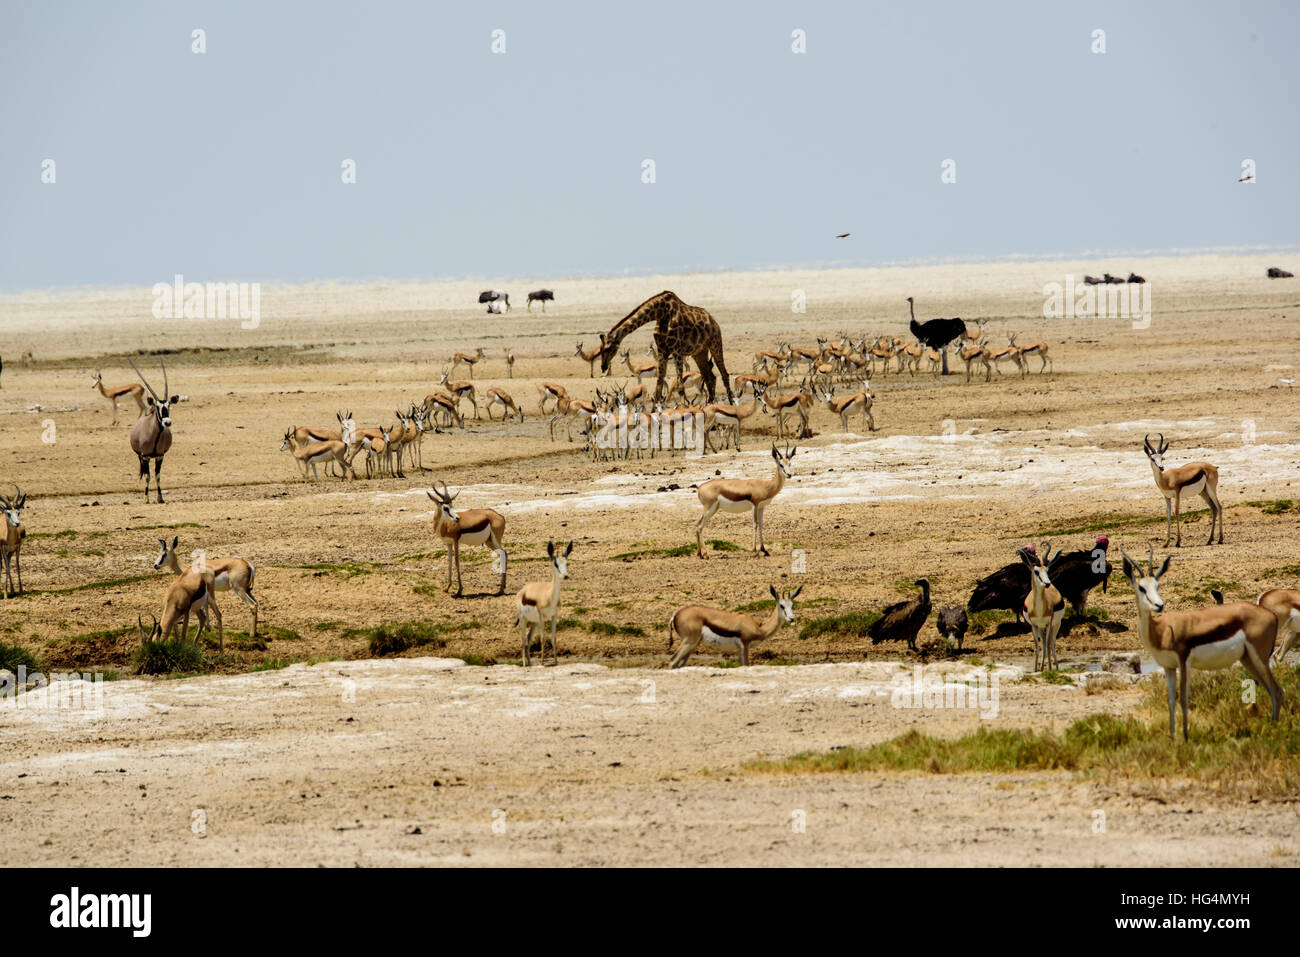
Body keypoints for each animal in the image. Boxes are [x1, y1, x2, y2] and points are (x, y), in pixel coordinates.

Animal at [595, 287, 733, 400]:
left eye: (607, 348)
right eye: (600, 349)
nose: (603, 366)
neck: (660, 313)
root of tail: (713, 320)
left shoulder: (676, 350)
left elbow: (680, 387)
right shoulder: (662, 350)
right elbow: (659, 385)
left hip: (715, 343)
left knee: (724, 375)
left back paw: (730, 404)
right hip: (699, 352)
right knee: (710, 377)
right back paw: (710, 405)